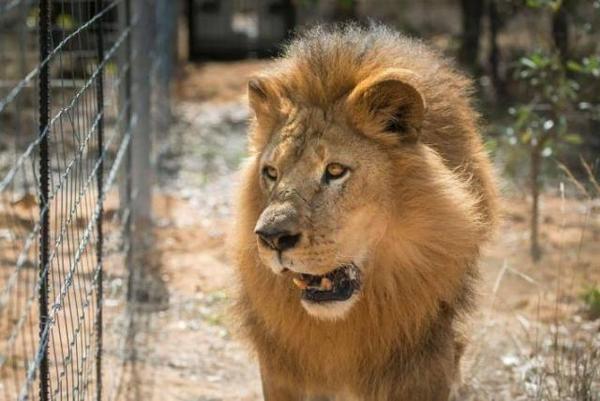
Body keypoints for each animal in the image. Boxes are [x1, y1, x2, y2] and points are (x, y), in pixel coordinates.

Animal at [232, 25, 500, 400]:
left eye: (334, 171)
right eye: (271, 173)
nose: (271, 238)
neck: (349, 324)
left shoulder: (426, 363)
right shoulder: (281, 373)